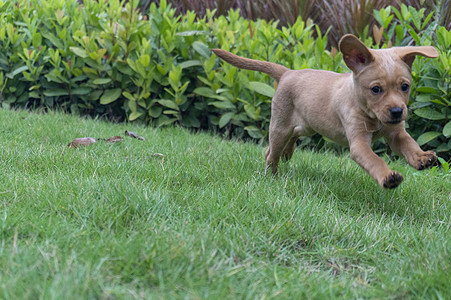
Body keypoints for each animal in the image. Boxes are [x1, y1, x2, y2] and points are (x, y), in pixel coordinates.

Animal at [214, 34, 440, 188]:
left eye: (405, 86)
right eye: (376, 89)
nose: (396, 111)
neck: (374, 117)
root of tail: (287, 72)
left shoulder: (396, 133)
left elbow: (410, 144)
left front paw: (422, 157)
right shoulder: (359, 143)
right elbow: (375, 160)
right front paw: (388, 176)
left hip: (307, 125)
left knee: (288, 139)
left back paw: (287, 153)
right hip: (280, 127)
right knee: (271, 154)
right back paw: (273, 176)